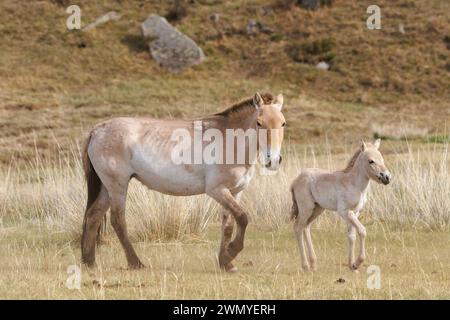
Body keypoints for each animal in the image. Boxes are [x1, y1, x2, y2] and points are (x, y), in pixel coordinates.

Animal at [81, 92, 284, 270]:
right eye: (259, 123)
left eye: (283, 123)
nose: (273, 160)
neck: (231, 142)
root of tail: (96, 130)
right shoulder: (217, 190)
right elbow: (243, 217)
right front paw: (232, 252)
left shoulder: (235, 191)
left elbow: (228, 225)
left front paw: (226, 262)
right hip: (118, 186)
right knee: (118, 221)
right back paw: (135, 262)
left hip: (107, 188)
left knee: (93, 216)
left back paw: (89, 261)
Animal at [292, 139, 390, 272]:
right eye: (371, 161)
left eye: (382, 159)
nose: (387, 177)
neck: (353, 184)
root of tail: (296, 180)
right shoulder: (344, 211)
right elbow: (362, 231)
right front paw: (358, 262)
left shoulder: (355, 212)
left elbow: (352, 236)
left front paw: (352, 266)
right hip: (306, 209)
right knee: (298, 228)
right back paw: (306, 266)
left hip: (317, 209)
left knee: (306, 227)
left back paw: (313, 264)